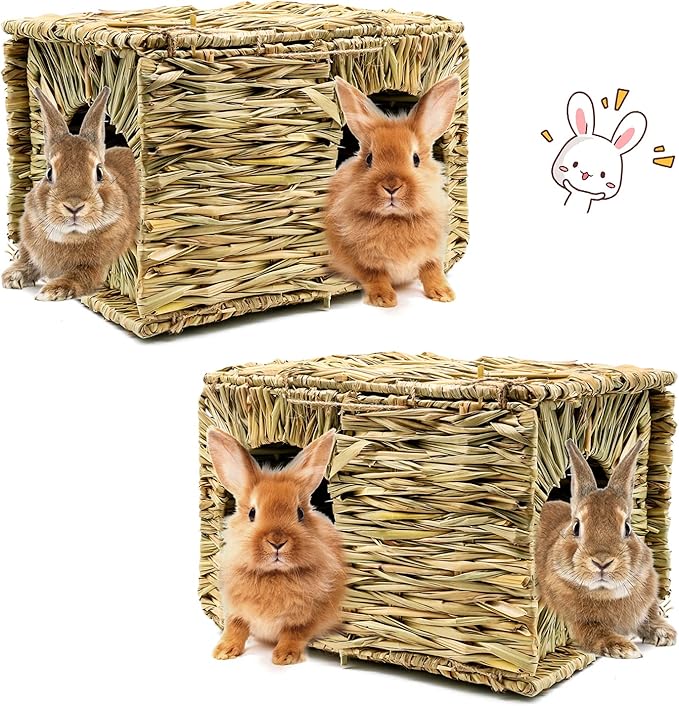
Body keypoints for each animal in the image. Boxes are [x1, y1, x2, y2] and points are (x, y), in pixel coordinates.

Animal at [2, 86, 140, 301]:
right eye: (49, 172)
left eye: (99, 172)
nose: (74, 207)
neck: (70, 237)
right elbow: (28, 261)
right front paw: (11, 276)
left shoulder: (95, 267)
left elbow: (79, 276)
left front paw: (52, 291)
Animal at [206, 428, 346, 665]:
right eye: (252, 513)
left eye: (300, 513)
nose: (277, 541)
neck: (273, 574)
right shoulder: (235, 610)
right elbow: (235, 628)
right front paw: (223, 651)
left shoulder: (309, 616)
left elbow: (294, 632)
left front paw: (284, 656)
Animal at [325, 76, 461, 307]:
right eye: (369, 159)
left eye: (416, 159)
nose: (391, 186)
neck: (395, 218)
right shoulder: (359, 260)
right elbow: (374, 275)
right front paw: (384, 299)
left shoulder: (432, 253)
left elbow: (432, 270)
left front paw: (443, 294)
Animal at [536, 439, 676, 658]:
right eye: (576, 526)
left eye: (627, 527)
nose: (602, 562)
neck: (606, 593)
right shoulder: (580, 623)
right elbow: (596, 633)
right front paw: (624, 648)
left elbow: (649, 616)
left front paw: (665, 633)